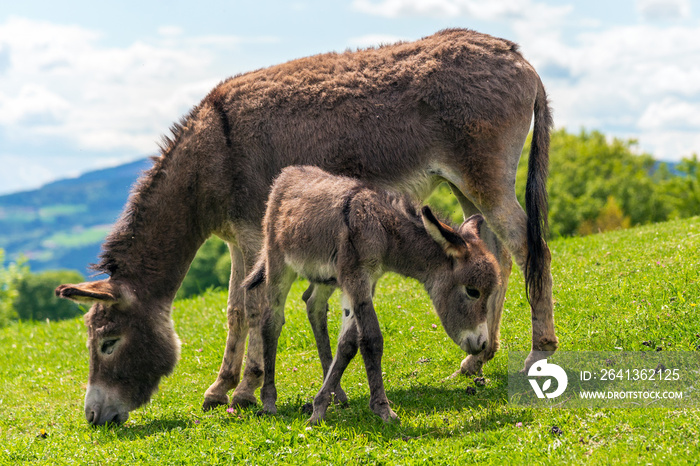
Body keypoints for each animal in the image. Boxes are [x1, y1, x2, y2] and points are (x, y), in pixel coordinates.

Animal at [243, 166, 500, 424]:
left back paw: (336, 393)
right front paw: (382, 409)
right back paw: (269, 401)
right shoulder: (357, 279)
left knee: (313, 304)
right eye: (472, 291)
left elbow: (347, 344)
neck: (382, 227)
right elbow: (371, 339)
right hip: (278, 262)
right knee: (271, 321)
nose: (482, 344)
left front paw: (320, 406)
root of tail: (289, 172)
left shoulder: (364, 282)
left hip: (328, 276)